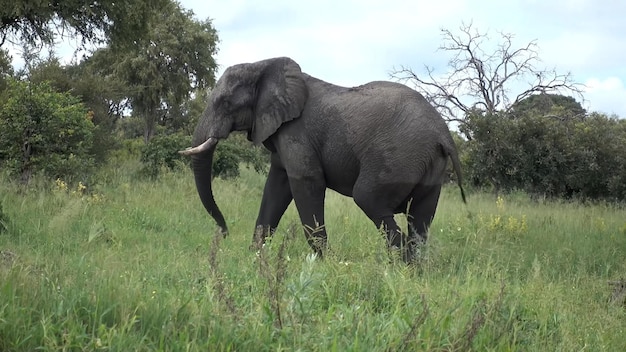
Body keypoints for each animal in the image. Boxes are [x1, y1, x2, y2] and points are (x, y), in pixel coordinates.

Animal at [179, 57, 464, 262]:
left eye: (225, 103)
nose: (224, 234)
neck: (263, 65)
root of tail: (444, 134)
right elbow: (276, 188)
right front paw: (254, 258)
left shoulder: (296, 131)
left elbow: (306, 182)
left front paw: (325, 263)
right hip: (429, 165)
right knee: (421, 217)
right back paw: (415, 269)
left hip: (399, 156)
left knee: (368, 198)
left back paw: (401, 265)